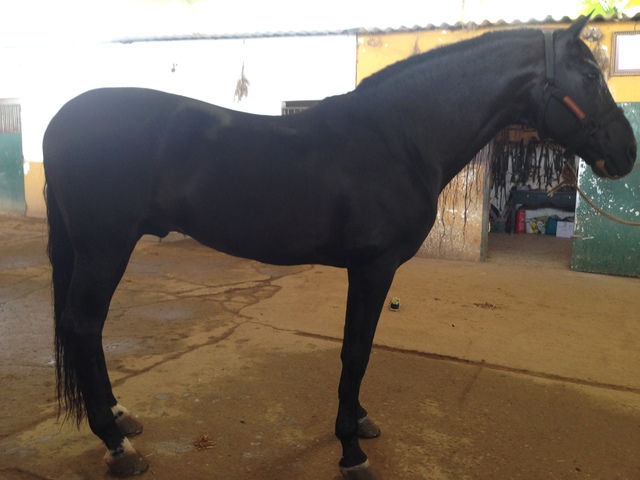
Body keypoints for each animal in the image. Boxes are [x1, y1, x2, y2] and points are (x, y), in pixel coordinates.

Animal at [43, 16, 636, 479]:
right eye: (589, 76)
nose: (626, 153)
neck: (398, 139)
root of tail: (59, 121)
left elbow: (361, 349)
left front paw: (361, 424)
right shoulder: (372, 267)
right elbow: (356, 351)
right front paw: (351, 450)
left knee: (87, 329)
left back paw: (121, 419)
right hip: (104, 248)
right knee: (83, 325)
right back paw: (117, 445)